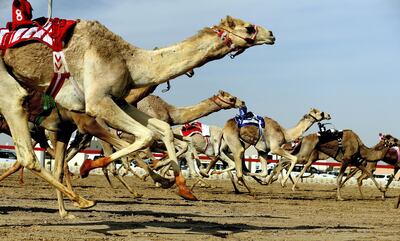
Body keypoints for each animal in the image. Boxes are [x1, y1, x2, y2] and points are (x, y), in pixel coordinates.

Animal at [0, 15, 276, 203]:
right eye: (248, 27)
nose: (272, 33)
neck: (129, 60)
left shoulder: (119, 100)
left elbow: (162, 130)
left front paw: (182, 188)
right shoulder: (98, 102)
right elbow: (146, 136)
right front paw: (89, 167)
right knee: (28, 148)